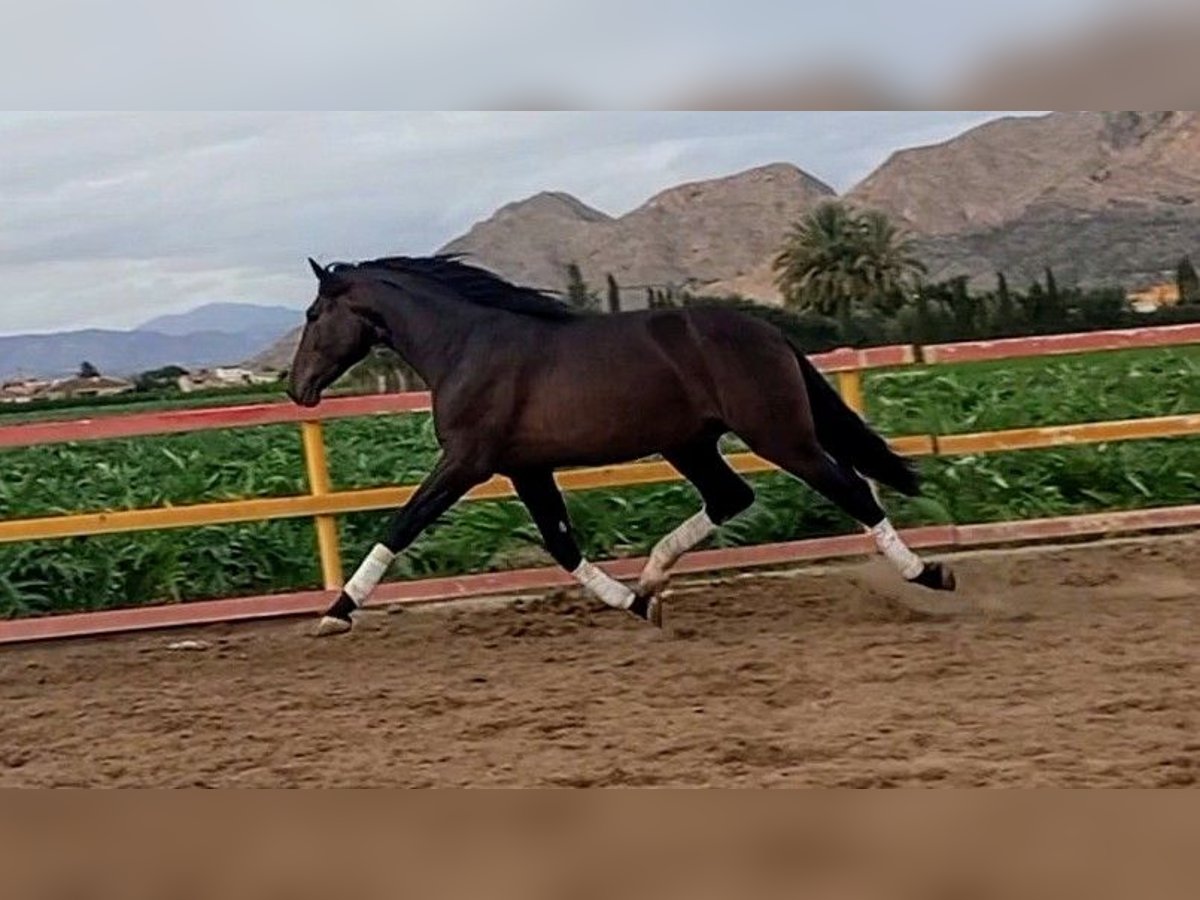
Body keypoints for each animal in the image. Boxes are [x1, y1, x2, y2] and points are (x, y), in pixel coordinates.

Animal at [285, 254, 950, 633]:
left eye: (315, 315)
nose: (297, 388)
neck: (465, 346)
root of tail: (770, 333)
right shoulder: (525, 469)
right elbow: (561, 544)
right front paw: (634, 604)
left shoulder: (467, 462)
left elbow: (401, 524)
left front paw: (334, 613)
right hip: (691, 443)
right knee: (731, 497)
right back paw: (651, 578)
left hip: (780, 435)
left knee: (852, 488)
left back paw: (930, 574)